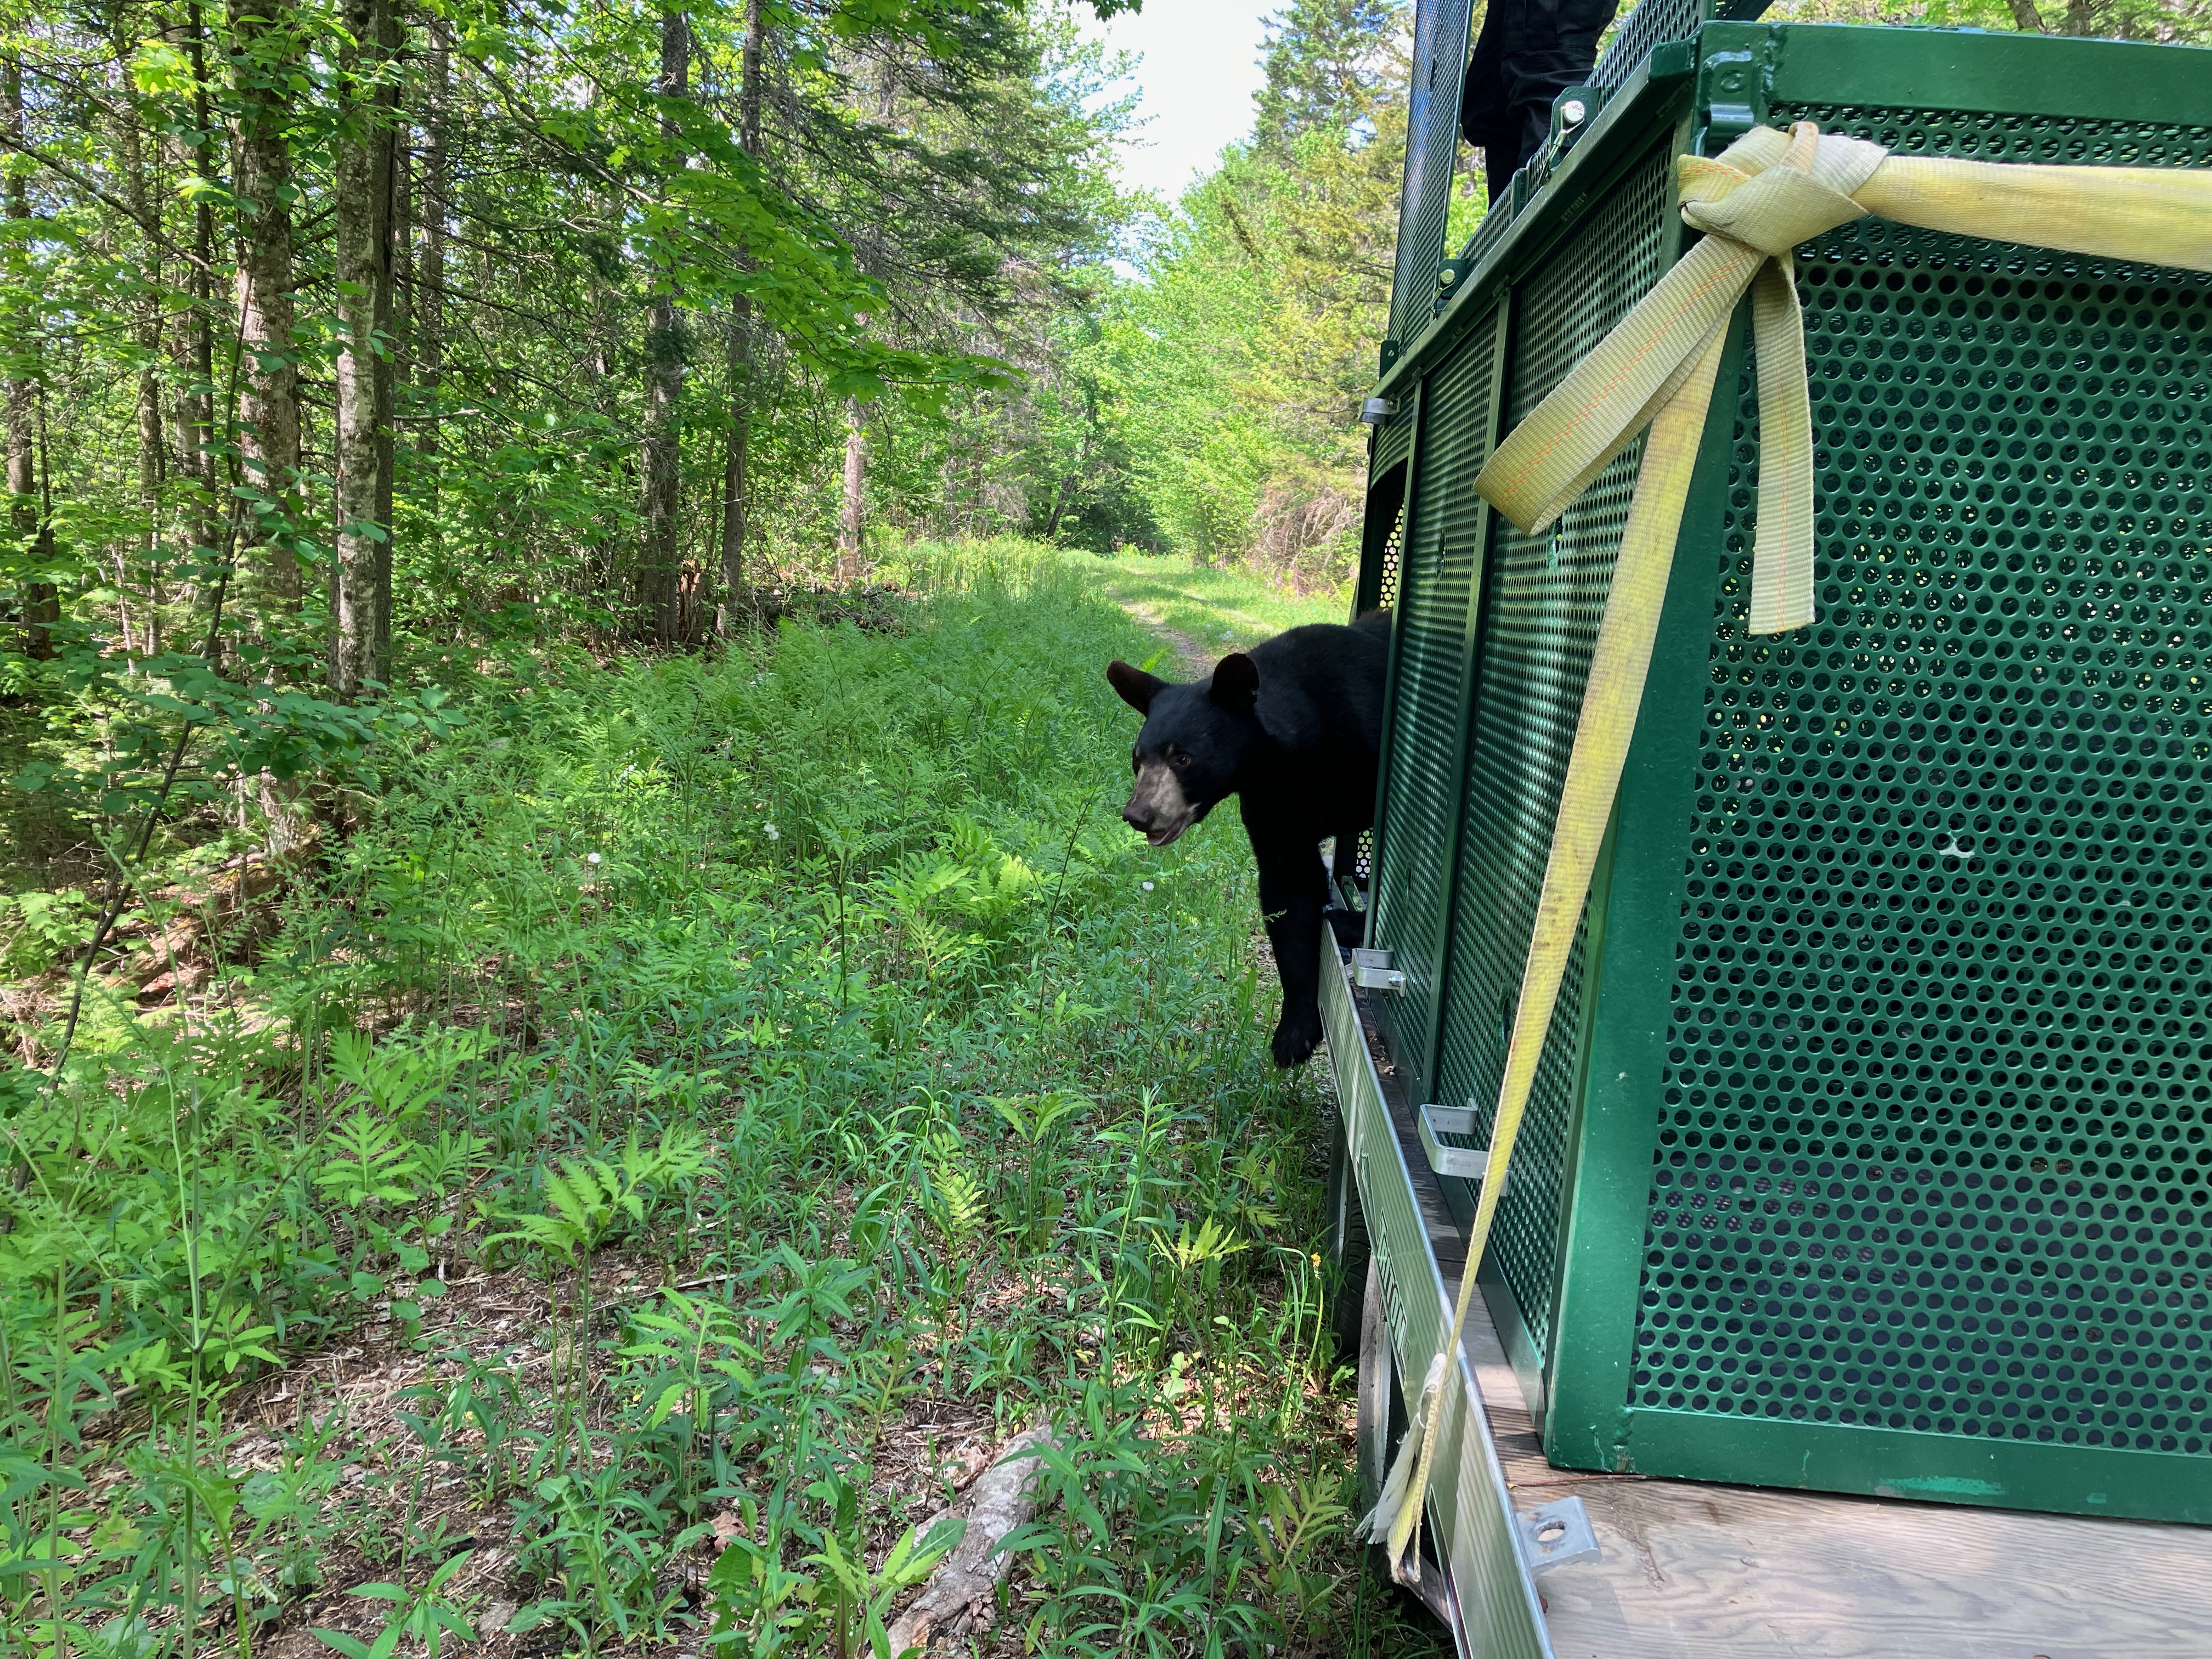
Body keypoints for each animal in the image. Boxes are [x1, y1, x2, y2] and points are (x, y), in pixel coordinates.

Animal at [1106, 609, 1391, 1068]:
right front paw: (1294, 1034)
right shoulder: (1273, 809)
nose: (1138, 814)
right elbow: (1289, 896)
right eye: (1138, 760)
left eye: (1184, 758)